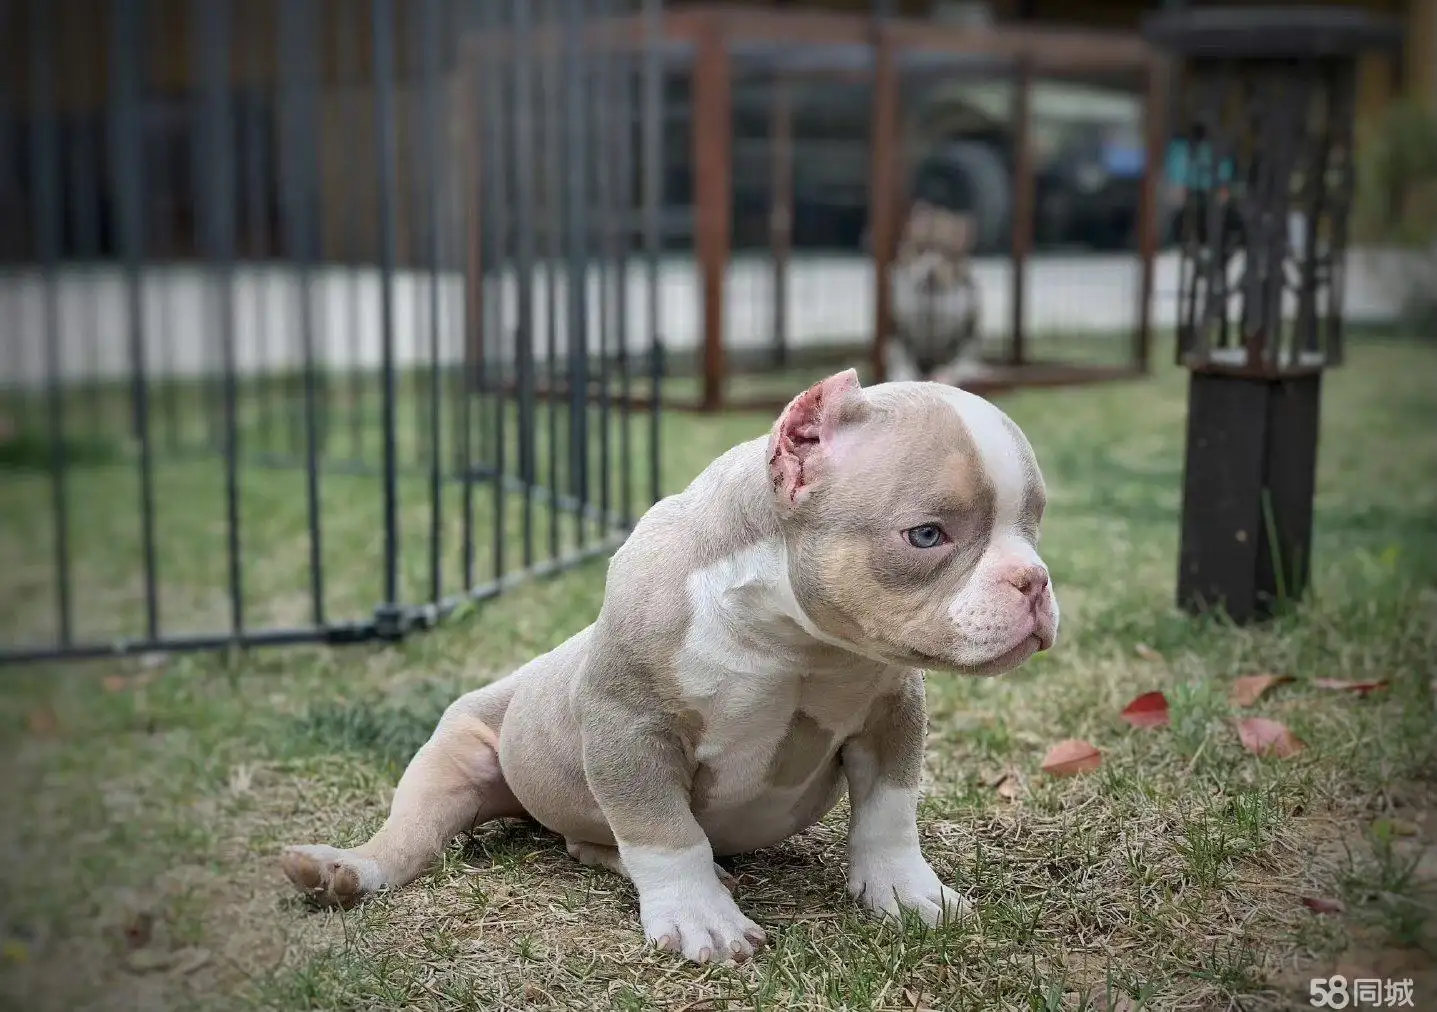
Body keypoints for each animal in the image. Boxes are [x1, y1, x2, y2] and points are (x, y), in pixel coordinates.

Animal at [280, 370, 1057, 966]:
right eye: (926, 535)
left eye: (1033, 526)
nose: (1034, 581)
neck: (794, 641)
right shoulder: (630, 727)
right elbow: (662, 830)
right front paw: (697, 917)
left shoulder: (893, 711)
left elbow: (889, 814)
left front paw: (904, 891)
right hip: (459, 749)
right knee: (415, 835)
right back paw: (343, 870)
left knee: (585, 841)